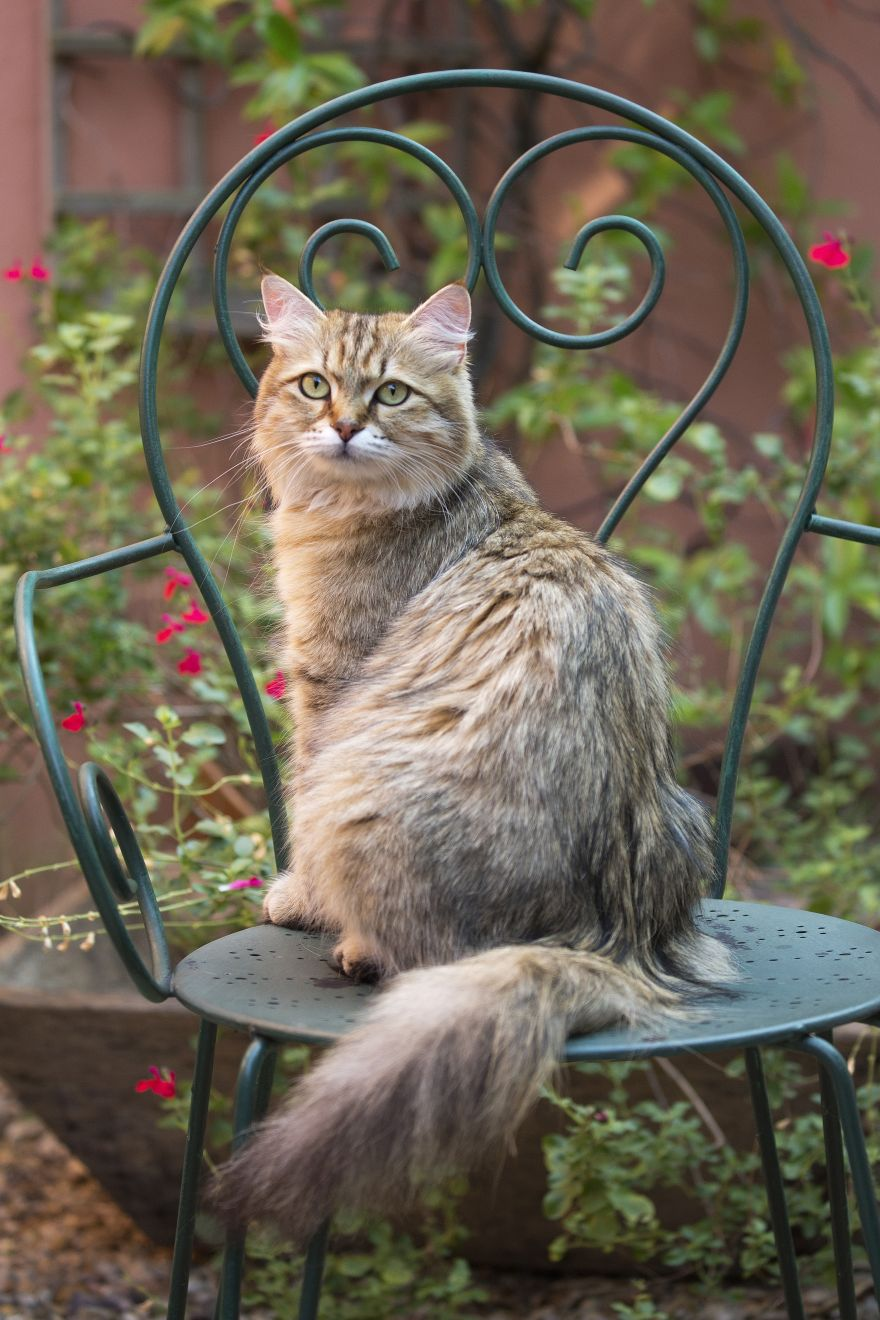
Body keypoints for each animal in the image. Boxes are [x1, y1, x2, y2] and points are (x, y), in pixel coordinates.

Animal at [216, 273, 738, 1240]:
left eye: (390, 393)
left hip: (359, 797)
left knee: (419, 958)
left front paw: (298, 900)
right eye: (314, 385)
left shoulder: (328, 688)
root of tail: (612, 937)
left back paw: (356, 947)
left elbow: (295, 804)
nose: (344, 427)